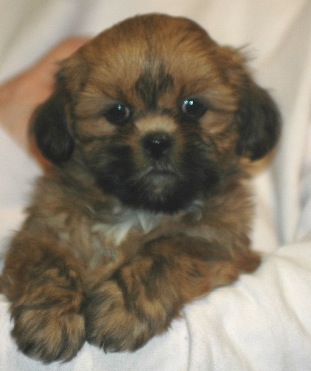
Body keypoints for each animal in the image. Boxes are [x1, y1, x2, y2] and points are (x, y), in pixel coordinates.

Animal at [0, 13, 280, 364]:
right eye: (118, 112)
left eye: (192, 107)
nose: (157, 141)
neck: (140, 208)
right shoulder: (45, 230)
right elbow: (49, 264)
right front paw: (49, 318)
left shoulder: (217, 244)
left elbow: (163, 255)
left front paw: (121, 311)